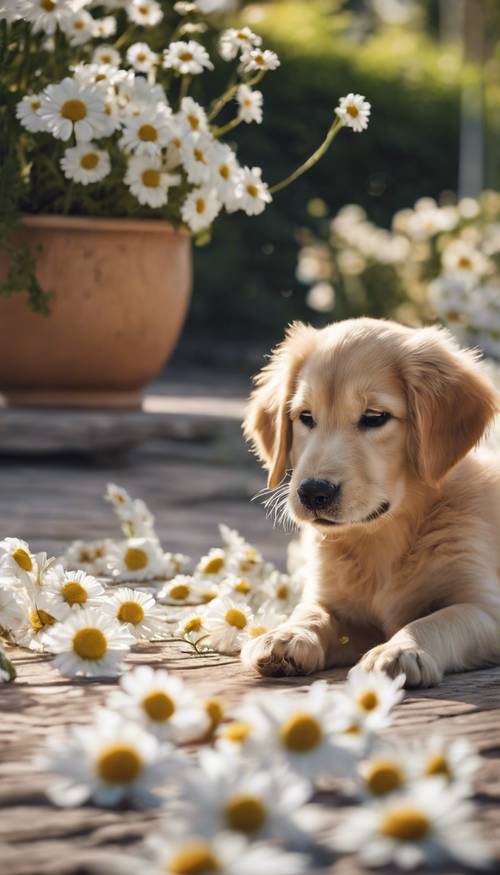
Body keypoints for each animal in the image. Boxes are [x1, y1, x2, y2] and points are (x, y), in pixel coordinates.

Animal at [240, 318, 498, 688]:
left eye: (375, 417)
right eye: (305, 416)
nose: (313, 492)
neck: (384, 537)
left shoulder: (484, 606)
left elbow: (436, 621)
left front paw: (399, 650)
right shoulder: (333, 601)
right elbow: (312, 613)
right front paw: (287, 635)